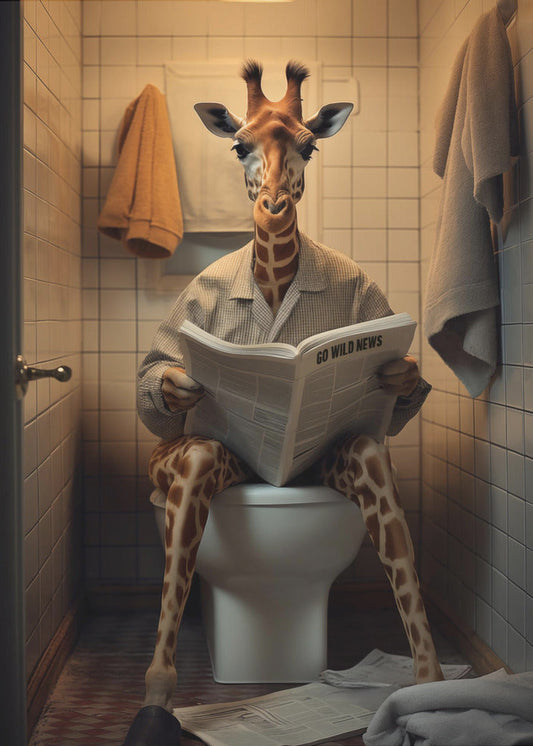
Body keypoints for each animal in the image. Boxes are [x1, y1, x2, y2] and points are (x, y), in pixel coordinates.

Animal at [123, 60, 443, 746]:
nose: (272, 205)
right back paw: (158, 704)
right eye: (238, 145)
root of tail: (275, 477)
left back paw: (428, 694)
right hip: (196, 465)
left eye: (309, 145)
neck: (273, 281)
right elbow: (157, 369)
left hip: (327, 465)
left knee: (371, 458)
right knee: (193, 478)